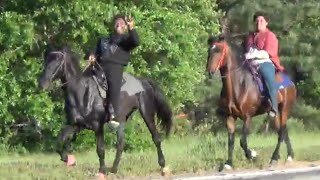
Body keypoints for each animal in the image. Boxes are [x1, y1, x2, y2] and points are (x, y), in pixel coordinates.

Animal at [37, 45, 172, 178]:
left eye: (58, 61)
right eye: (46, 60)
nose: (42, 83)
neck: (81, 92)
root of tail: (143, 82)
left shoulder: (97, 126)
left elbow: (100, 149)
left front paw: (102, 171)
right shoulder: (76, 124)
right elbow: (59, 141)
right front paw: (69, 160)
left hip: (147, 113)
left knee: (156, 138)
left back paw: (163, 167)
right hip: (122, 119)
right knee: (121, 144)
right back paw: (113, 169)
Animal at [206, 35, 296, 171]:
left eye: (219, 50)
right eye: (209, 50)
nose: (210, 71)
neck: (239, 86)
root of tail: (290, 82)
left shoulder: (247, 117)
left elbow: (242, 141)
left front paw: (252, 155)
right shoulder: (230, 117)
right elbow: (231, 141)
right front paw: (228, 163)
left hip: (284, 109)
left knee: (281, 133)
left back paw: (274, 158)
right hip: (276, 115)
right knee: (283, 131)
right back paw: (289, 156)